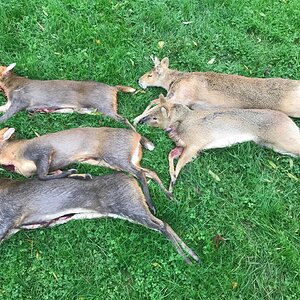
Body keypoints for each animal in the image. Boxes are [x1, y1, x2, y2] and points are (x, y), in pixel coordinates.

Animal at [0, 63, 136, 129]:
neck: (11, 85)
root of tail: (113, 89)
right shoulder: (10, 102)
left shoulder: (21, 99)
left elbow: (7, 114)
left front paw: (1, 121)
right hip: (96, 109)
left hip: (104, 105)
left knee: (123, 119)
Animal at [0, 126, 171, 213]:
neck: (16, 155)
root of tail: (138, 137)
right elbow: (49, 174)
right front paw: (81, 175)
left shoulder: (43, 152)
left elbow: (42, 175)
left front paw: (73, 172)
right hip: (120, 160)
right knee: (150, 172)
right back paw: (169, 194)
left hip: (116, 155)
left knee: (140, 173)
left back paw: (152, 205)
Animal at [0, 173, 200, 264]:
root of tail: (131, 180)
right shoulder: (12, 226)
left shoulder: (9, 217)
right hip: (131, 208)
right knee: (162, 223)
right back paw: (194, 256)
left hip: (129, 206)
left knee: (162, 225)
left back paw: (189, 258)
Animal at [134, 56, 300, 123]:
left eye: (150, 75)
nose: (139, 81)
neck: (174, 81)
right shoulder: (173, 97)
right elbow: (154, 102)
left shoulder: (181, 97)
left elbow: (155, 104)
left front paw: (136, 119)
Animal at [137, 95, 300, 191]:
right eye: (152, 110)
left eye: (155, 118)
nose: (141, 121)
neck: (181, 123)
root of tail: (288, 120)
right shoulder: (187, 147)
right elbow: (171, 154)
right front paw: (172, 177)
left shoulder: (195, 144)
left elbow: (181, 161)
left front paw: (173, 180)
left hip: (284, 139)